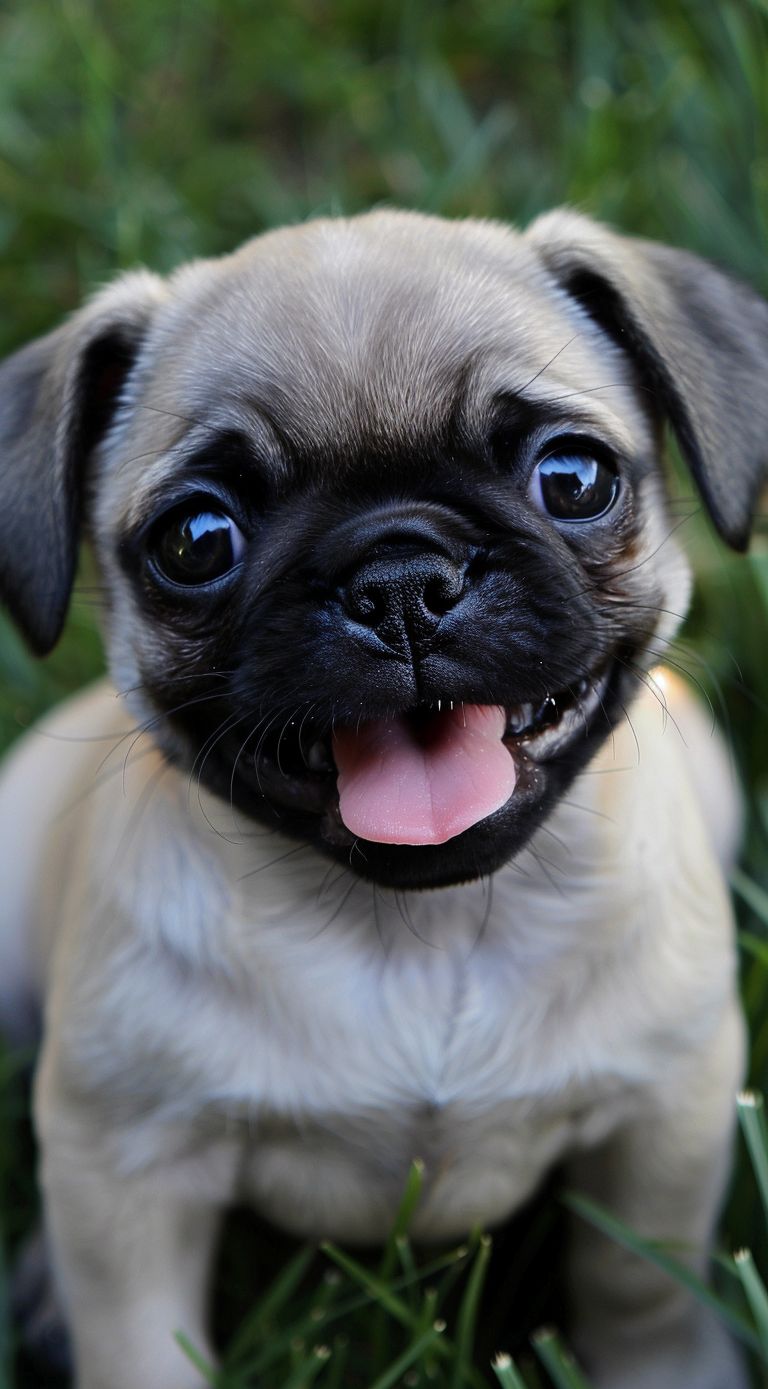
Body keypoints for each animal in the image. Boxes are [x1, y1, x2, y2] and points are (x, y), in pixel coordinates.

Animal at [0, 208, 761, 1389]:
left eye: (574, 479)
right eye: (196, 541)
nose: (400, 577)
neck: (422, 931)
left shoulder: (666, 1114)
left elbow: (639, 1285)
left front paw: (668, 1371)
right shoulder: (125, 1167)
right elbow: (132, 1340)